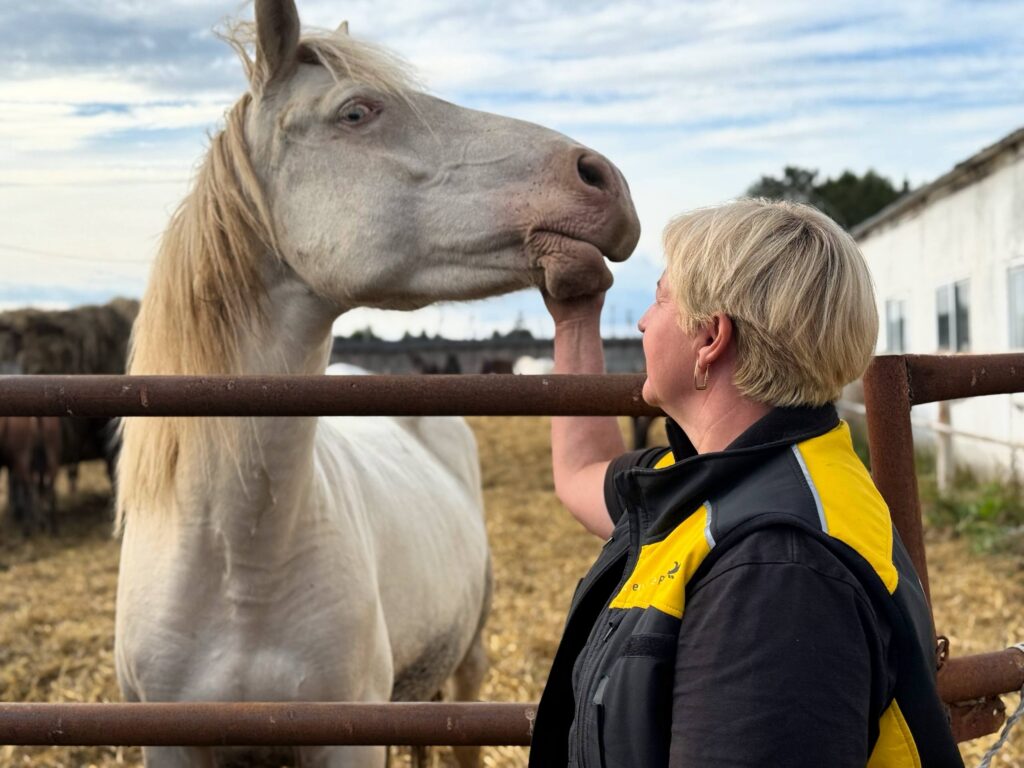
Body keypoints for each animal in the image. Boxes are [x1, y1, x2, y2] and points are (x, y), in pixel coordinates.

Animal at [114, 3, 638, 766]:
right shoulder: (171, 744)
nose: (602, 178)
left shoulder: (348, 741)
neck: (237, 566)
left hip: (469, 663)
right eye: (357, 112)